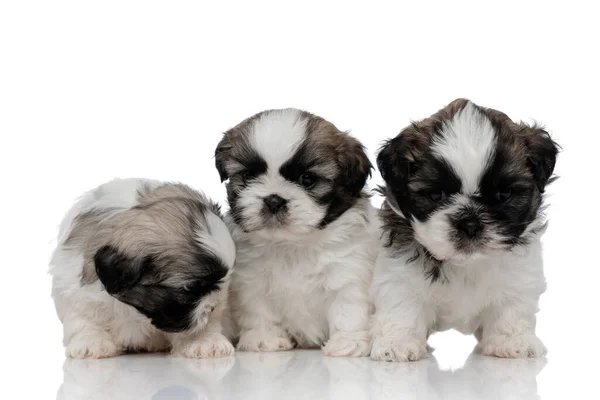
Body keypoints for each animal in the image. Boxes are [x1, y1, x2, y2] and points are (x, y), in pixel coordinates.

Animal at [49, 178, 237, 360]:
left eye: (223, 279)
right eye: (190, 287)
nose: (212, 307)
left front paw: (204, 341)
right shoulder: (79, 293)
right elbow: (86, 320)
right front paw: (92, 343)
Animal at [213, 107, 378, 356]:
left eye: (307, 179)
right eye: (249, 176)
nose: (273, 200)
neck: (292, 245)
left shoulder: (347, 272)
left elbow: (348, 310)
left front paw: (348, 343)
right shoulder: (253, 281)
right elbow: (259, 310)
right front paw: (264, 338)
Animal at [370, 98, 556, 360]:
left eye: (504, 194)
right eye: (436, 195)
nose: (470, 223)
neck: (465, 263)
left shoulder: (517, 277)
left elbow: (511, 306)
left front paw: (512, 341)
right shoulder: (400, 275)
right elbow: (402, 305)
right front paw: (398, 343)